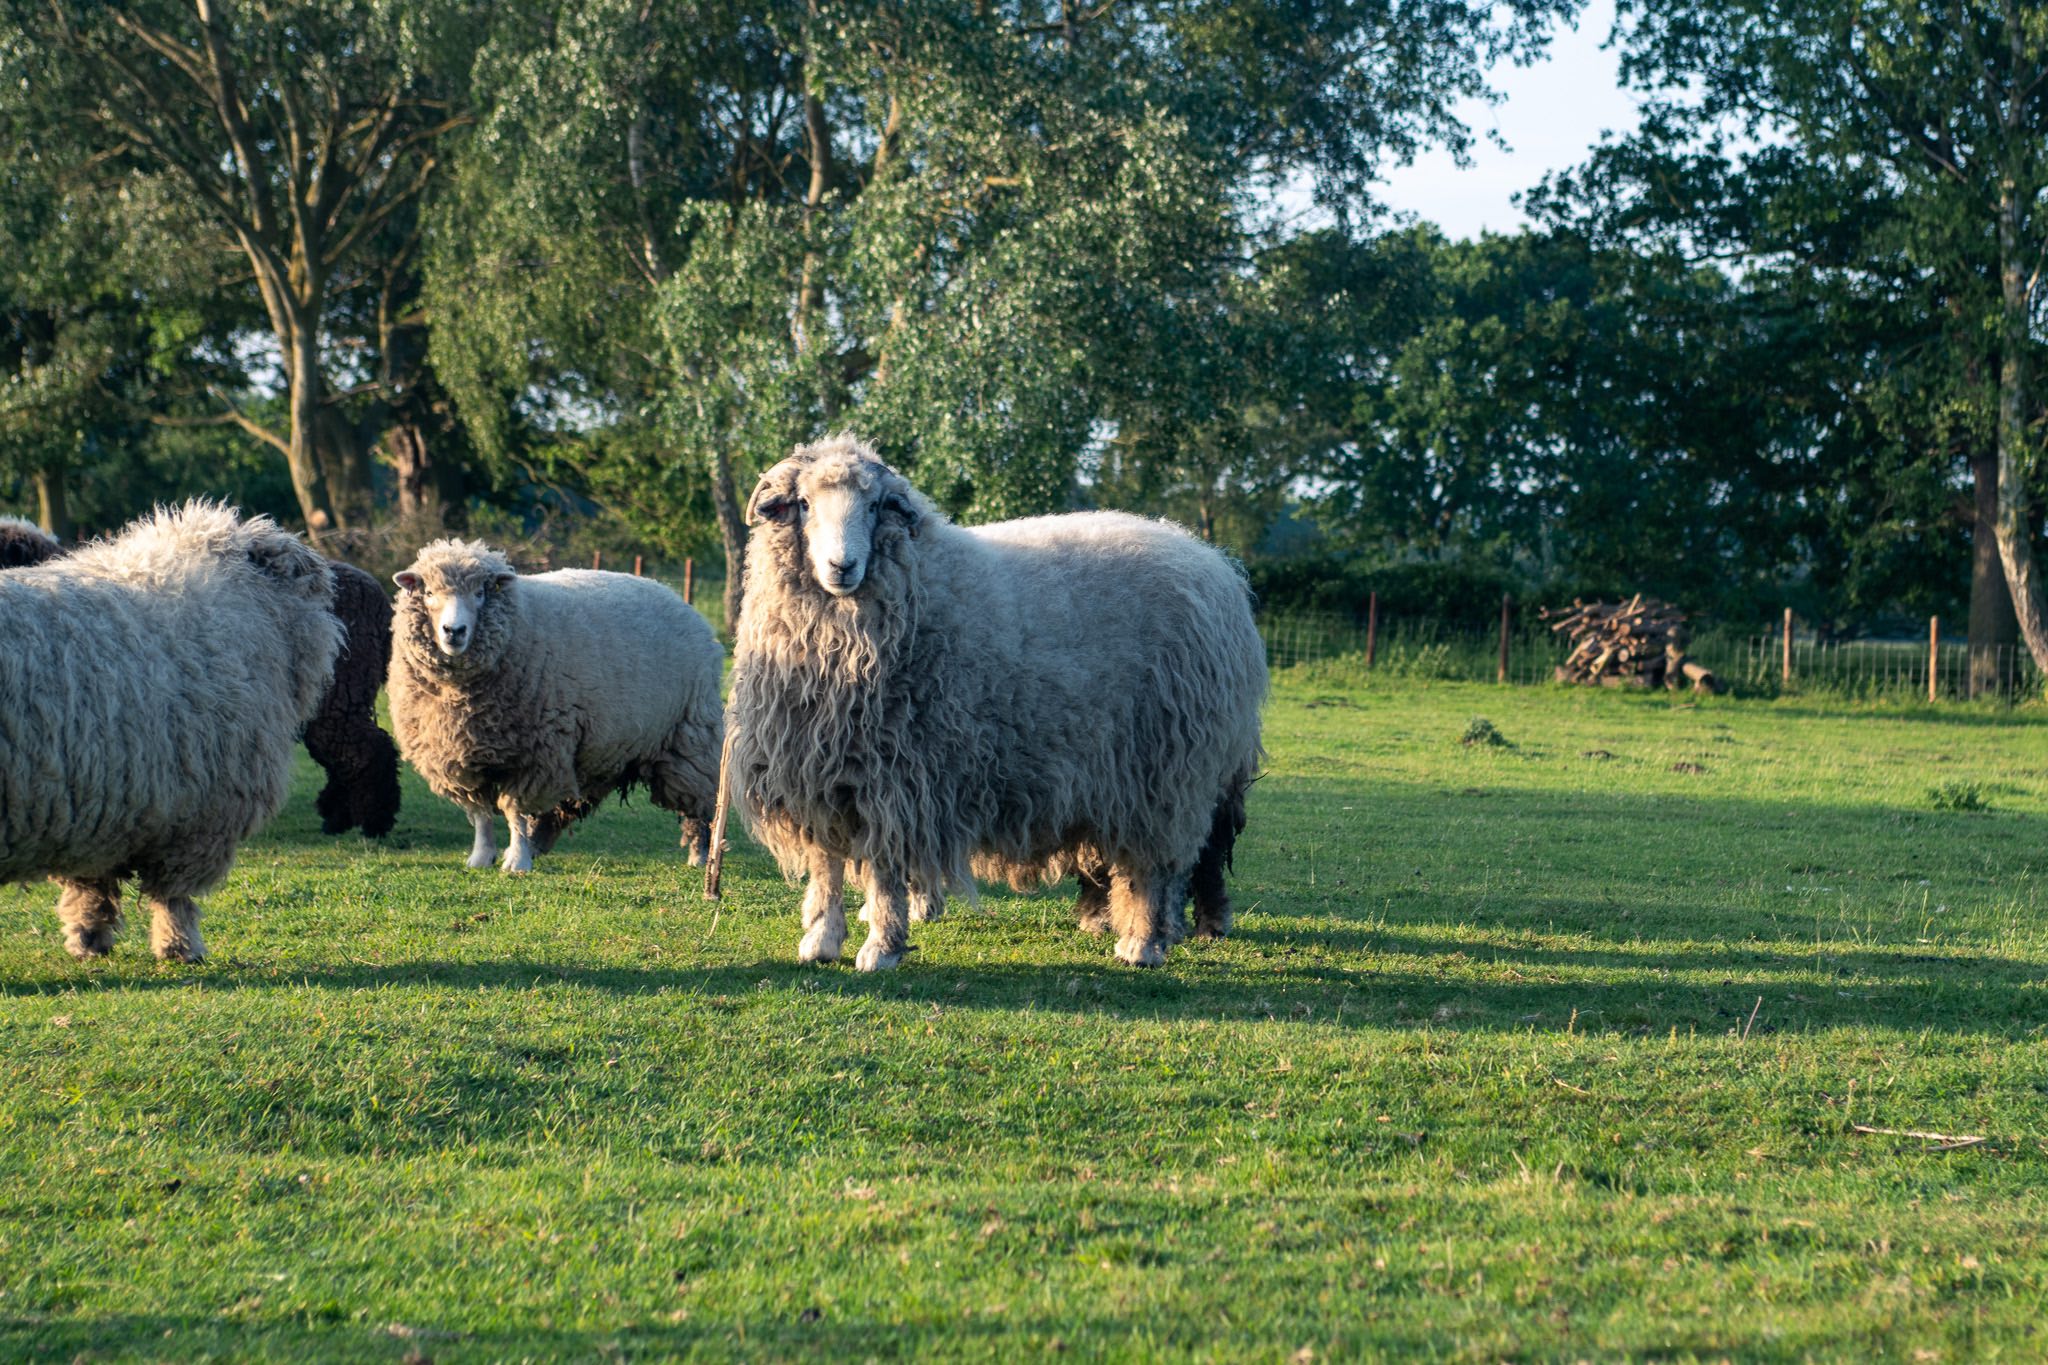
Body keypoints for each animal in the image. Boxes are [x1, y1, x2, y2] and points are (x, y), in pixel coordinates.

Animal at [0, 501, 342, 961]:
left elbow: (91, 887)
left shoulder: (95, 805)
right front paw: (179, 946)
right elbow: (173, 896)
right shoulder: (196, 817)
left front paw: (88, 939)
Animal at [387, 539, 723, 874]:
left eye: (480, 593)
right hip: (602, 747)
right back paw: (538, 844)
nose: (453, 631)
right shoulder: (461, 756)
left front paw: (517, 860)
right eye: (429, 593)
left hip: (690, 736)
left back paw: (701, 854)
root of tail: (676, 597)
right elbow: (481, 814)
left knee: (700, 802)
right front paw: (482, 857)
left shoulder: (533, 755)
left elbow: (515, 810)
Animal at [727, 434, 1266, 971]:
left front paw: (881, 946)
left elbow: (883, 870)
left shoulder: (896, 776)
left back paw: (1148, 941)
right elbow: (827, 866)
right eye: (803, 503)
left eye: (876, 506)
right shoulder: (820, 773)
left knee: (1161, 862)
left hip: (1166, 767)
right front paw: (822, 939)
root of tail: (1213, 564)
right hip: (1113, 772)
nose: (843, 567)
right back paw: (1116, 920)